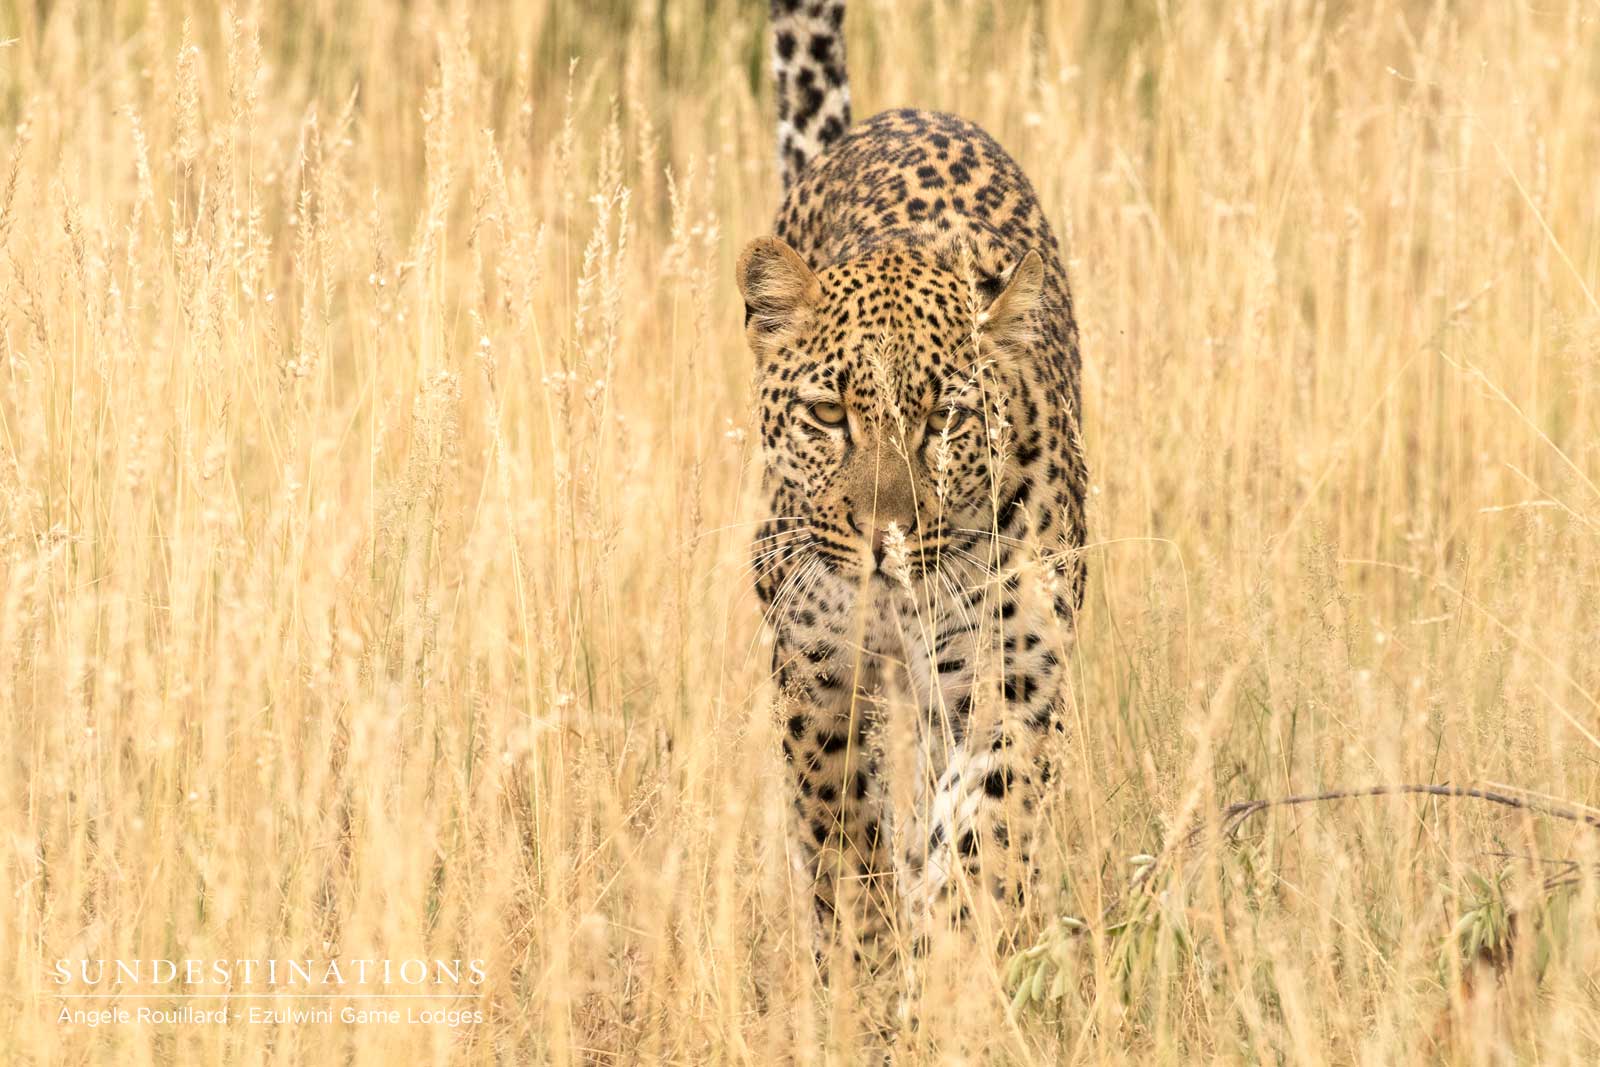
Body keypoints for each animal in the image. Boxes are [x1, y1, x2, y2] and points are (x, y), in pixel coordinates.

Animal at [737, 0, 1089, 983]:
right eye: (828, 413)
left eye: (944, 418)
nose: (883, 534)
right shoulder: (815, 667)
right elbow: (840, 836)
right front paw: (863, 963)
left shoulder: (1013, 667)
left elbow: (981, 832)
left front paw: (952, 960)